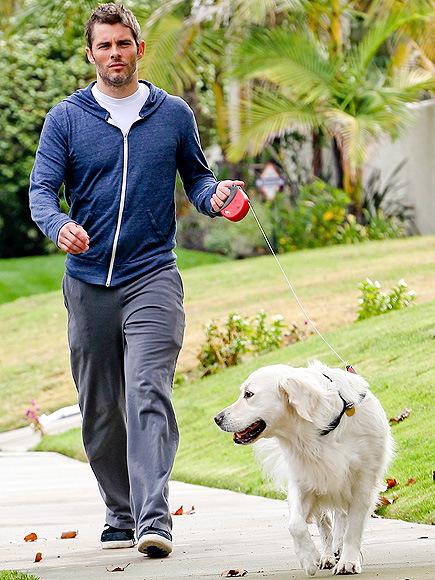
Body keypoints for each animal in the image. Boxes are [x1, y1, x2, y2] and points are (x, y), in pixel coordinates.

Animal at [215, 362, 396, 576]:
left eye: (249, 394)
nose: (217, 418)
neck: (322, 431)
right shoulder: (304, 481)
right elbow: (295, 524)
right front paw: (309, 558)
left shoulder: (363, 481)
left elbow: (353, 527)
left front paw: (349, 560)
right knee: (325, 525)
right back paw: (327, 555)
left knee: (342, 518)